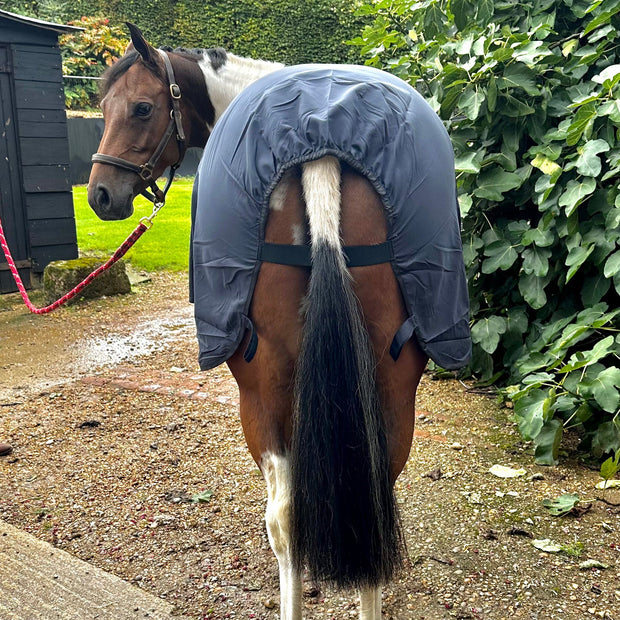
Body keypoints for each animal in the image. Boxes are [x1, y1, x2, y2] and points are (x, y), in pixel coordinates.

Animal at [87, 21, 470, 616]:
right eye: (103, 108)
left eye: (142, 108)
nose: (101, 195)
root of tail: (322, 152)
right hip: (390, 384)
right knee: (373, 496)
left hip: (259, 392)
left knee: (285, 521)